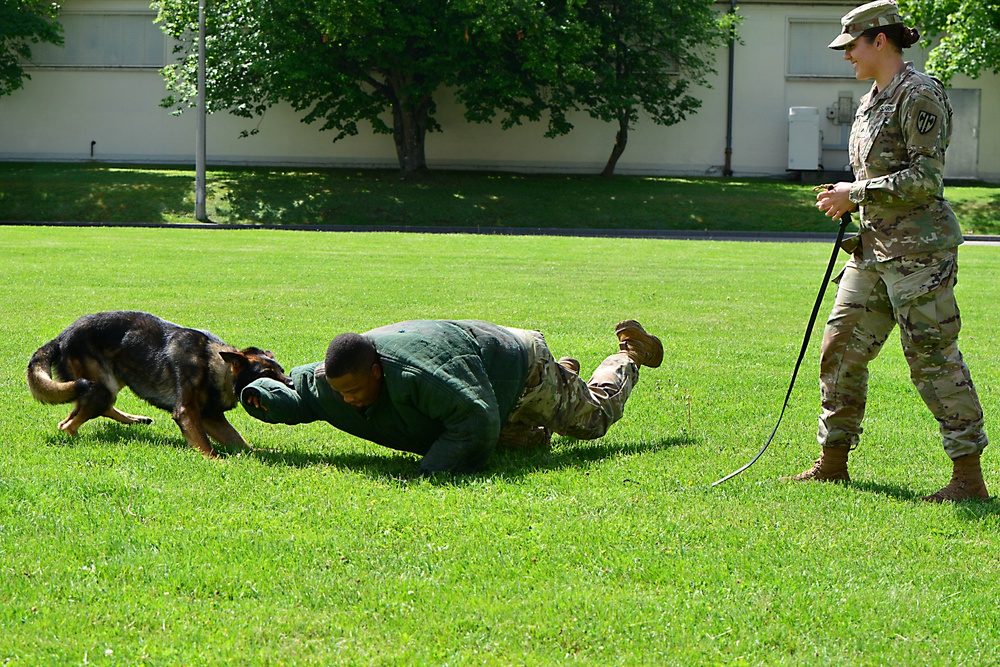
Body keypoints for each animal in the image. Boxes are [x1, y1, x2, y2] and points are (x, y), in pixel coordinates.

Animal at [26, 310, 292, 456]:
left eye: (281, 370)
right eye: (266, 373)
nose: (291, 383)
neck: (215, 364)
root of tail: (60, 337)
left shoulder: (211, 417)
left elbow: (239, 441)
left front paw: (259, 452)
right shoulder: (188, 412)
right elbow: (206, 445)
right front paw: (217, 461)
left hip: (112, 381)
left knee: (85, 411)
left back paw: (135, 419)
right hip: (100, 386)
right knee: (68, 424)